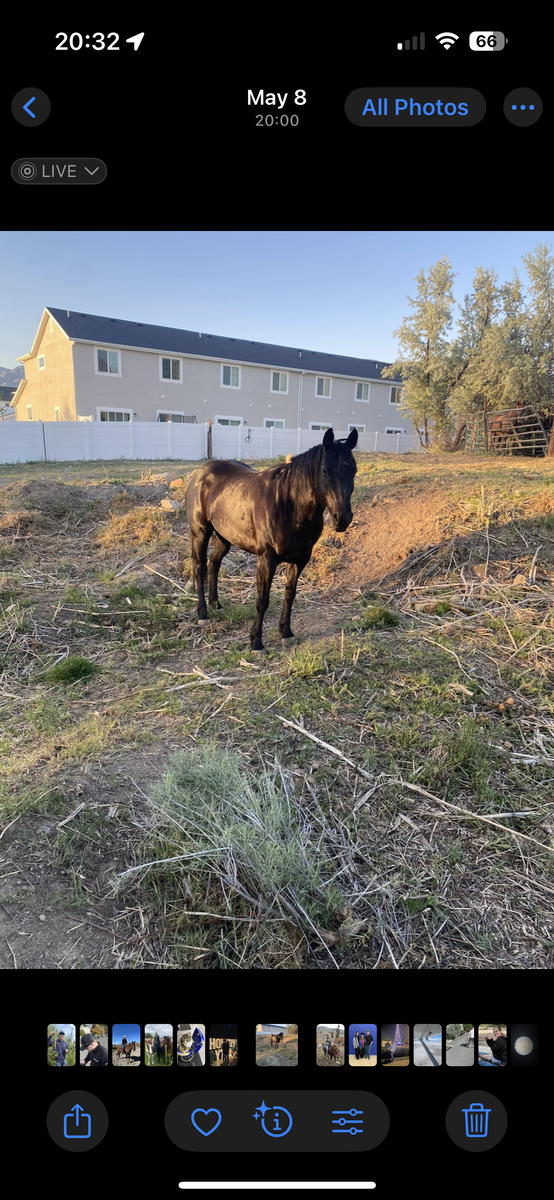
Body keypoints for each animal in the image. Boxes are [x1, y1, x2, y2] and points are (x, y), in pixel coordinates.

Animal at [185, 428, 358, 652]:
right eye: (325, 470)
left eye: (353, 470)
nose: (342, 518)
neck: (289, 505)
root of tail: (200, 473)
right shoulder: (267, 559)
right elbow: (262, 600)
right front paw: (256, 642)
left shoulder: (301, 559)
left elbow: (290, 594)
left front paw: (286, 633)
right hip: (200, 532)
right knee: (200, 568)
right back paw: (203, 614)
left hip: (225, 536)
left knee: (214, 564)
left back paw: (217, 605)